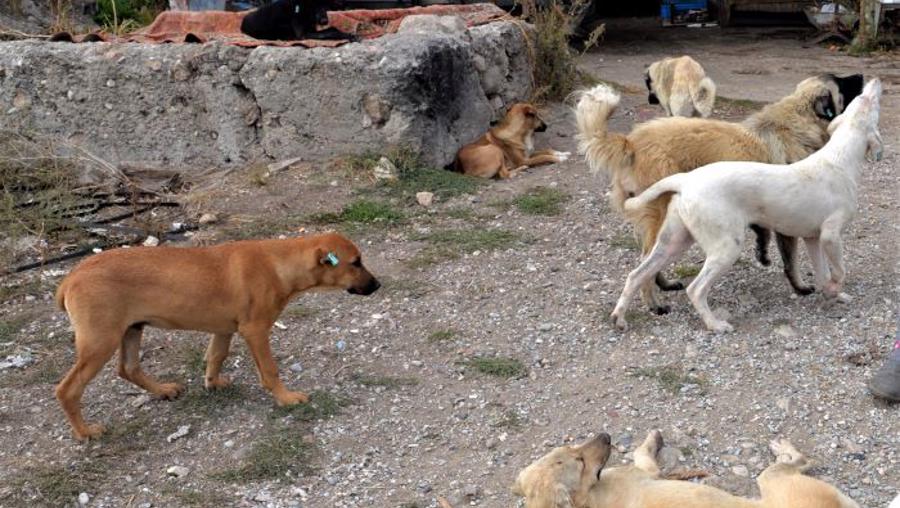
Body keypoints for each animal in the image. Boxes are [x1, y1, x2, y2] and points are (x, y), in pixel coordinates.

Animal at [55, 232, 380, 438]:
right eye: (355, 262)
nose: (377, 285)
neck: (278, 263)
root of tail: (71, 278)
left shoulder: (224, 330)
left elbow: (216, 356)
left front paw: (213, 383)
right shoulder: (255, 330)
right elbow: (270, 370)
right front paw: (286, 398)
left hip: (131, 329)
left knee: (128, 368)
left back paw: (163, 390)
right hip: (101, 341)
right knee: (68, 389)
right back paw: (86, 432)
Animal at [608, 78, 884, 334]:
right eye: (865, 100)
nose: (876, 82)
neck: (838, 158)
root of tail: (686, 180)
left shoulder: (813, 239)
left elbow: (823, 274)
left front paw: (832, 294)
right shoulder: (830, 236)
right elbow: (839, 271)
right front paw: (836, 288)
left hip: (674, 242)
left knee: (636, 275)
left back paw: (620, 317)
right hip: (725, 248)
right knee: (695, 289)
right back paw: (715, 324)